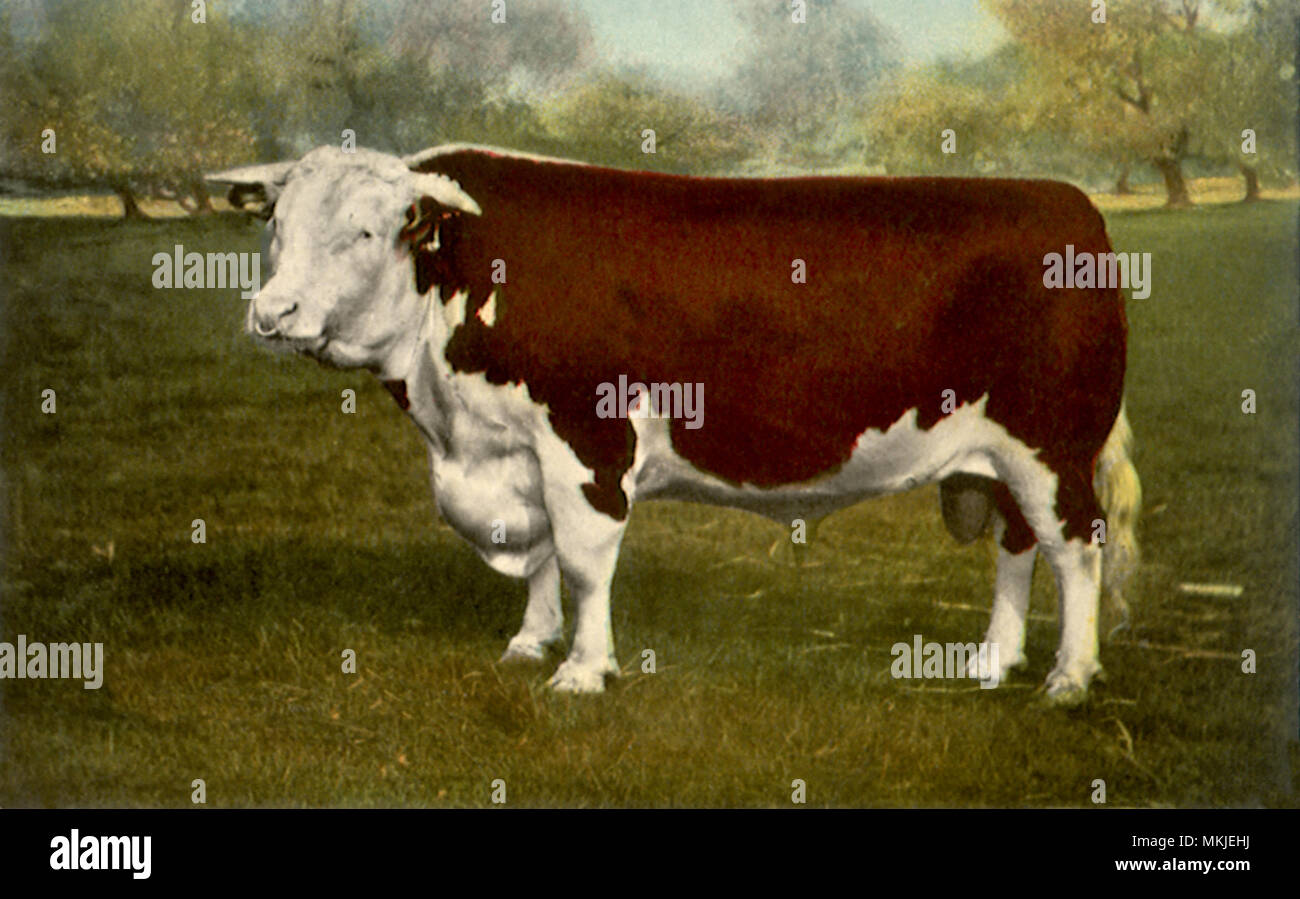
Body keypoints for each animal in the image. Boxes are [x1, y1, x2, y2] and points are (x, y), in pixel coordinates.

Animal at [207, 144, 1141, 706]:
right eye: (276, 227)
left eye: (366, 231)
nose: (272, 312)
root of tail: (1064, 200)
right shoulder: (514, 451)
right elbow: (540, 554)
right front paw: (531, 641)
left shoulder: (585, 438)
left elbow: (582, 559)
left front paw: (583, 670)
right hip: (1000, 456)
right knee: (1018, 545)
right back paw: (994, 659)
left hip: (1052, 445)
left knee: (1075, 549)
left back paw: (1070, 674)